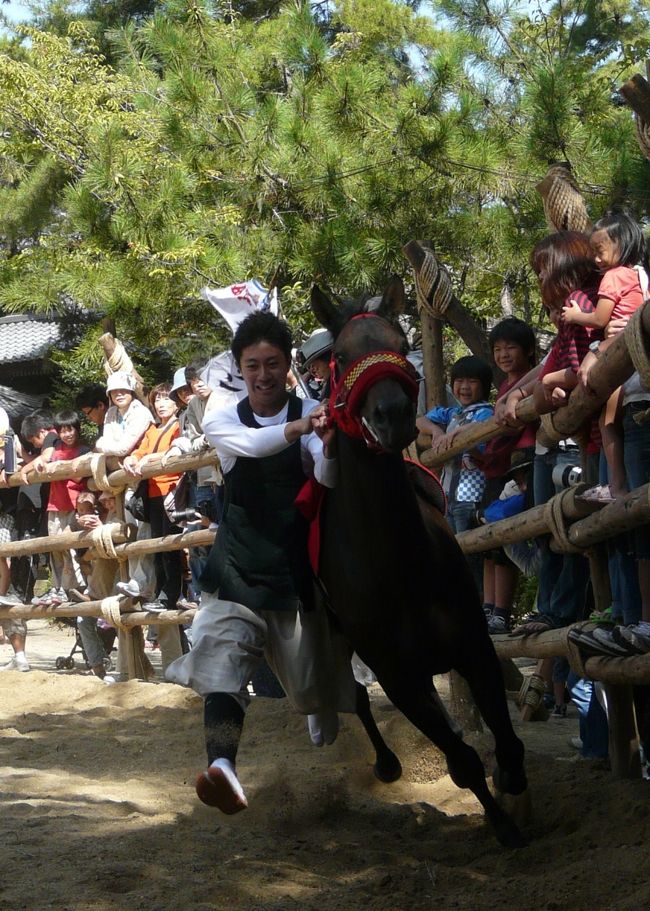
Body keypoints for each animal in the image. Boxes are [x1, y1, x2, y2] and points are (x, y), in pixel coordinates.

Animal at [308, 276, 528, 848]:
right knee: (355, 696)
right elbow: (463, 759)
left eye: (401, 344)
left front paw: (512, 781)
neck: (398, 564)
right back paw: (386, 763)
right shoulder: (397, 674)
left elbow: (503, 733)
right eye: (342, 356)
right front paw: (504, 826)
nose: (391, 414)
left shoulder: (473, 644)